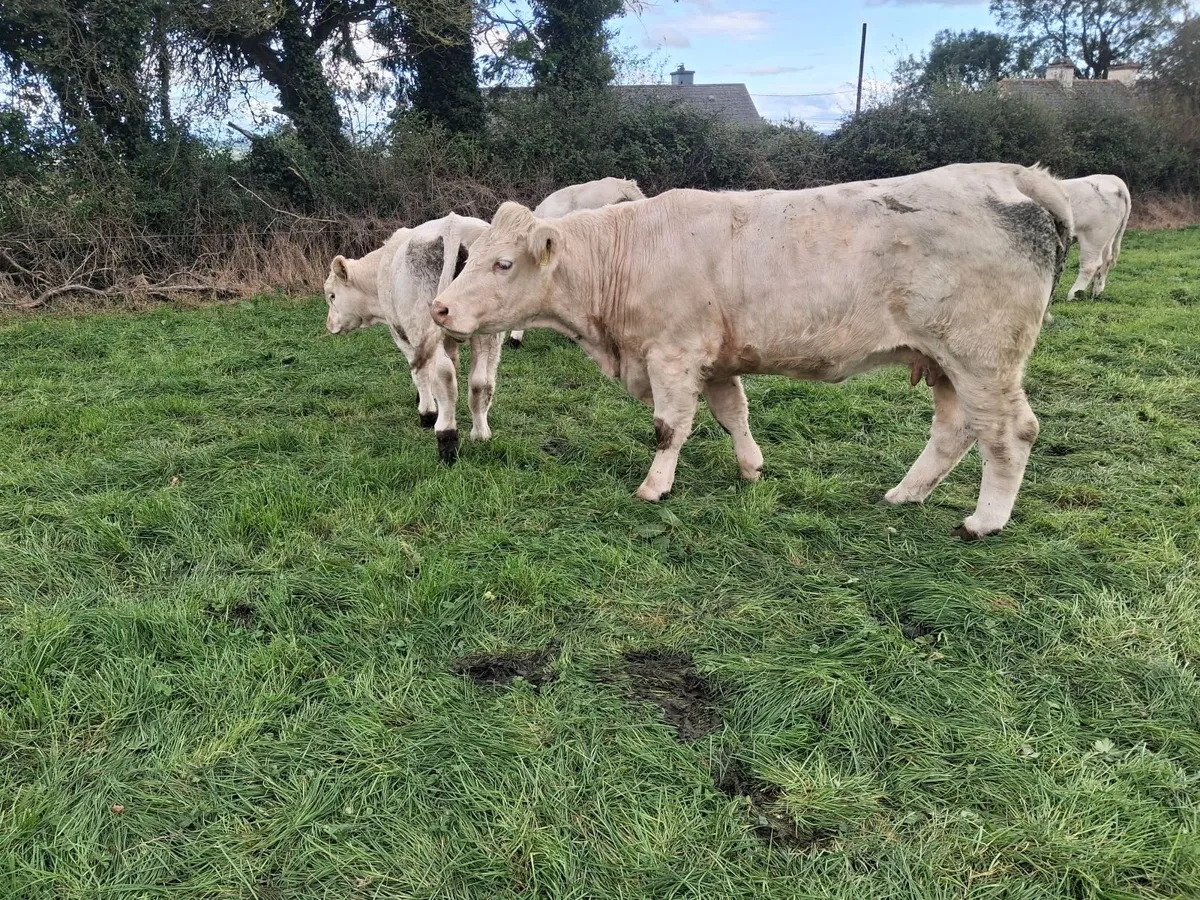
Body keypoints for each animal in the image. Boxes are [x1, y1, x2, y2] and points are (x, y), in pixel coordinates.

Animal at [324, 213, 501, 464]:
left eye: (332, 295)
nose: (329, 325)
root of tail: (454, 224)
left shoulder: (402, 335)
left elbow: (420, 375)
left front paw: (427, 411)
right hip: (489, 335)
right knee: (480, 381)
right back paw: (480, 434)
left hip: (421, 322)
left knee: (443, 376)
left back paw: (446, 439)